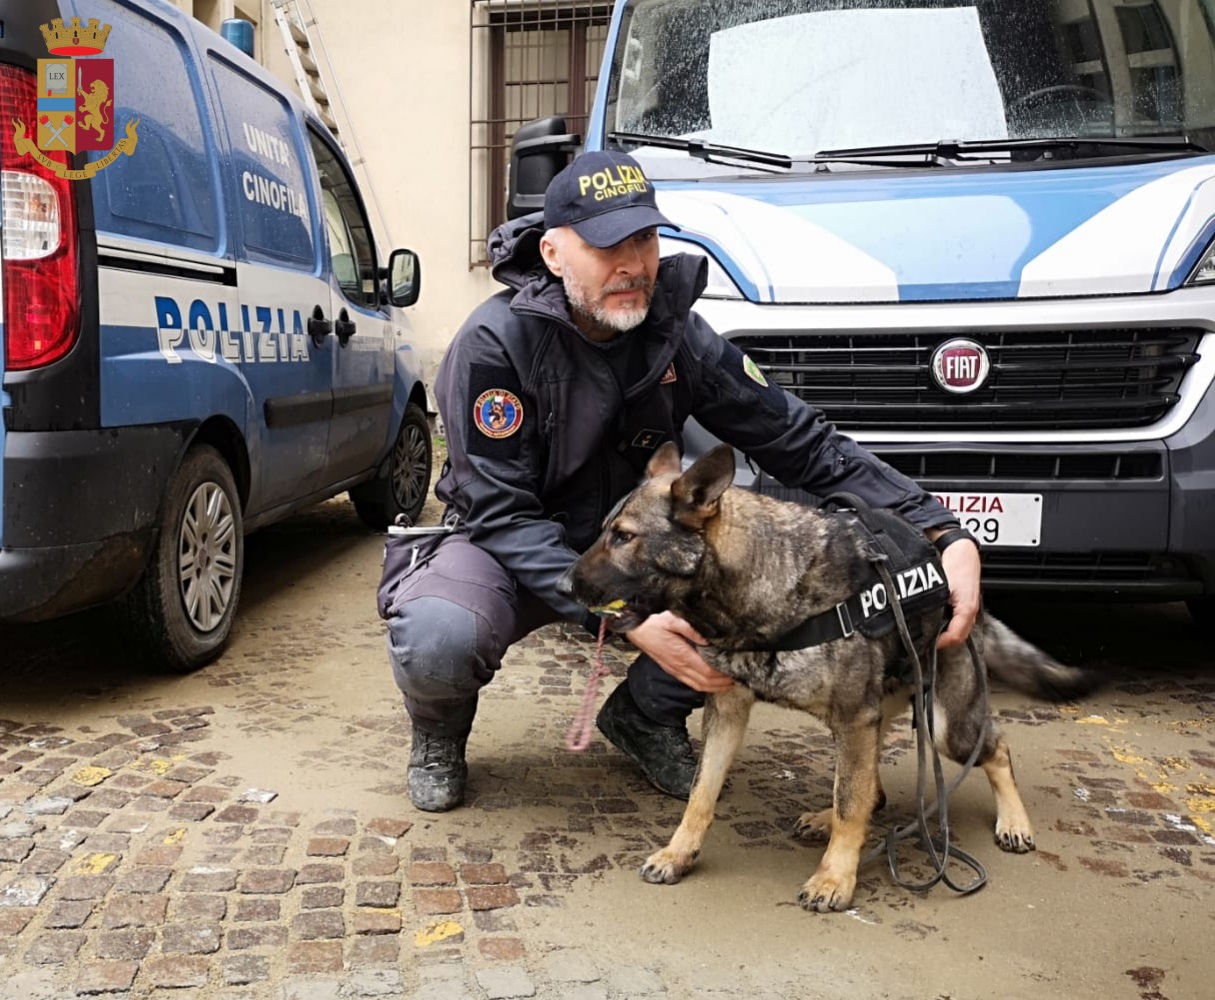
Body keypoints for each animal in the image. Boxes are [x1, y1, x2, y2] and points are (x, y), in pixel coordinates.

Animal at [563, 444, 1098, 913]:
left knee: (994, 748)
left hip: (942, 727)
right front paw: (679, 853)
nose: (564, 584)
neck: (762, 581)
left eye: (624, 536)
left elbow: (849, 805)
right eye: (606, 530)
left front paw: (835, 878)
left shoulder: (853, 718)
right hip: (869, 722)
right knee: (872, 790)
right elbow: (702, 794)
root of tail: (966, 588)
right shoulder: (730, 712)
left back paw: (1013, 821)